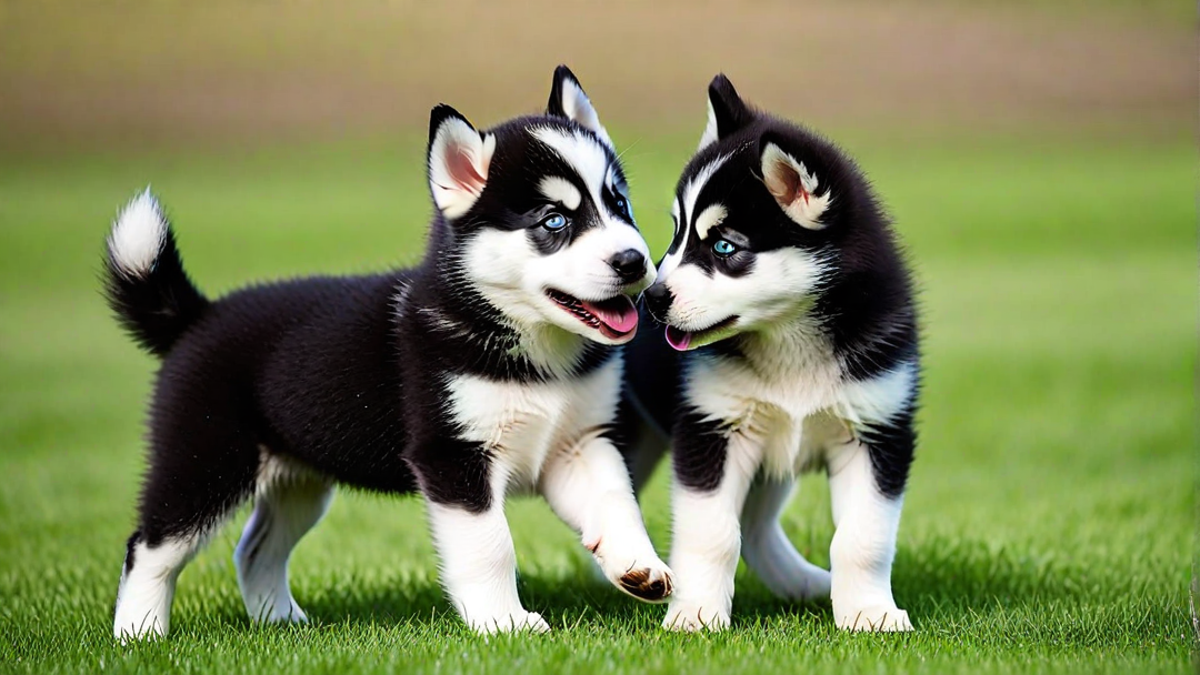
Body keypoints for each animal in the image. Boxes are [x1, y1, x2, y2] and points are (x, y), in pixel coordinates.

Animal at [110, 65, 676, 638]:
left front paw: (638, 565)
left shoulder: (579, 443)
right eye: (554, 221)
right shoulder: (453, 457)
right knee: (149, 548)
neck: (535, 352)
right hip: (205, 463)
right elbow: (490, 546)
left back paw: (282, 622)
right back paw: (139, 634)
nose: (634, 261)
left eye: (618, 204)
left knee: (253, 549)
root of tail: (199, 315)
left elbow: (617, 501)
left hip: (299, 480)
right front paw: (503, 622)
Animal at [628, 74, 916, 629]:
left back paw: (803, 583)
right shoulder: (712, 428)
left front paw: (868, 613)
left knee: (758, 529)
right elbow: (712, 534)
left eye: (724, 247)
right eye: (676, 234)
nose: (650, 299)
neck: (789, 339)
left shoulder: (877, 431)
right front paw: (696, 614)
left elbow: (862, 540)